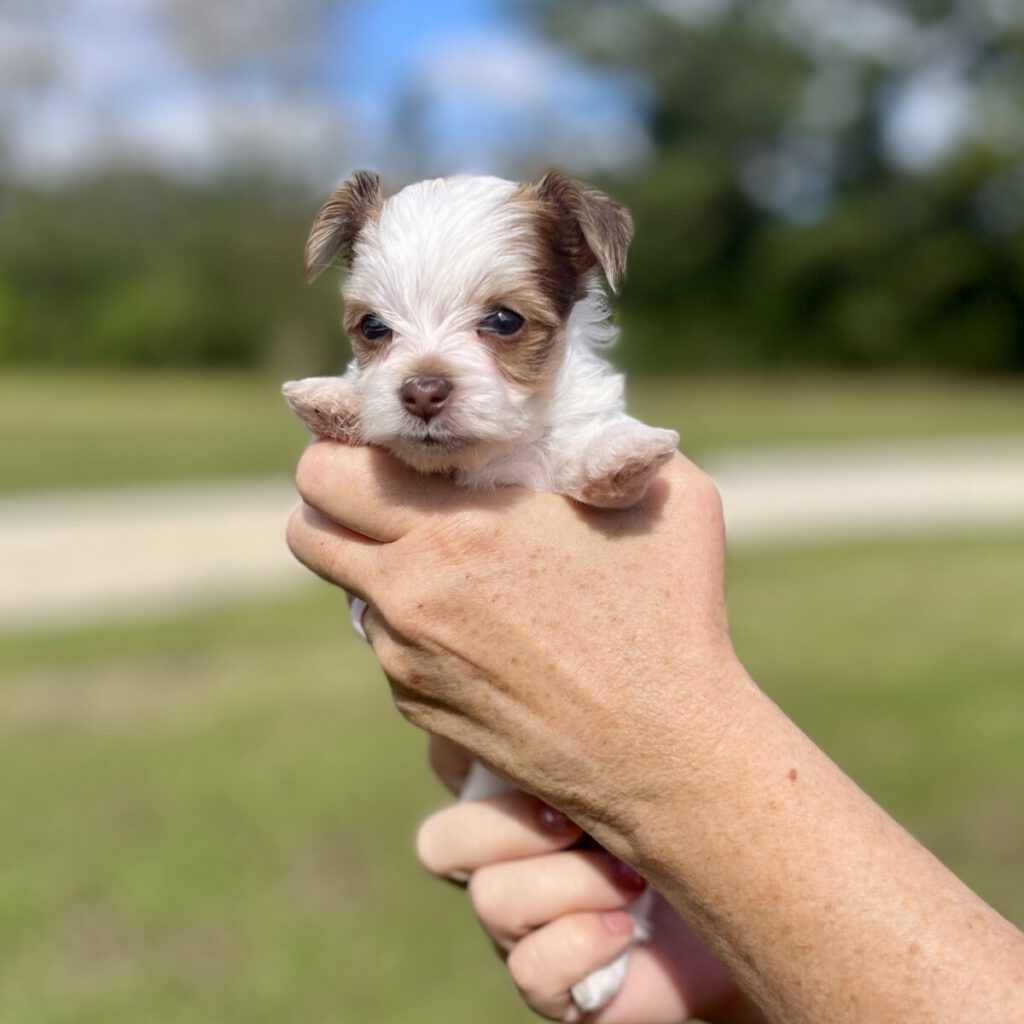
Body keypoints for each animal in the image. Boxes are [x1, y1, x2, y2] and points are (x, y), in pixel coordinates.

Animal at [284, 172, 675, 1011]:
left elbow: (583, 442)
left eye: (503, 320)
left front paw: (621, 458)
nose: (423, 389)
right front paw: (337, 400)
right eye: (374, 329)